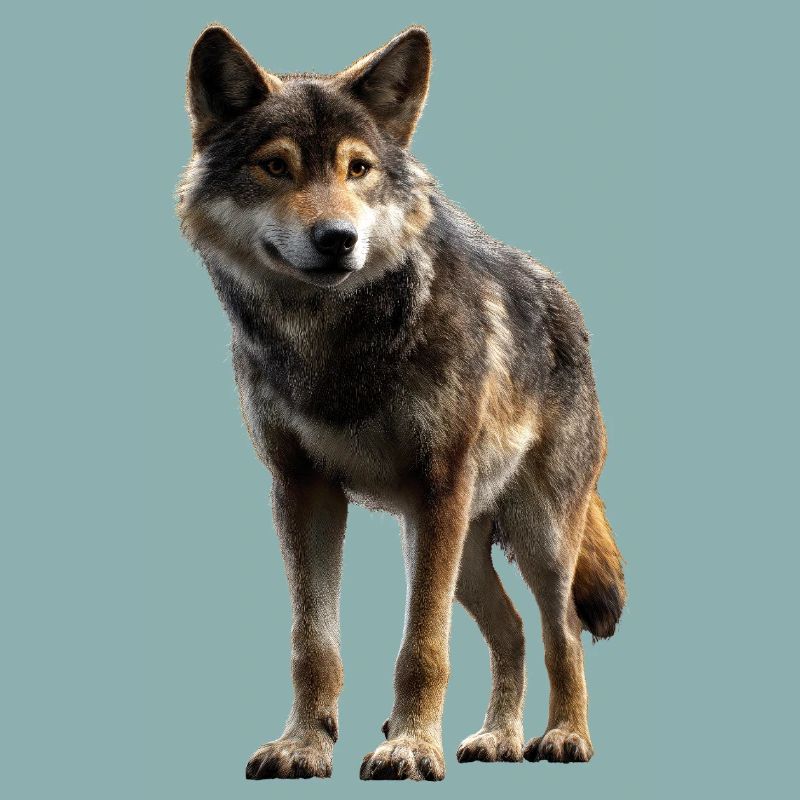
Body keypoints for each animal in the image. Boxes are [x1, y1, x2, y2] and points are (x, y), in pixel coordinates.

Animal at [178, 24, 626, 781]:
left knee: (560, 631)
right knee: (511, 633)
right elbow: (313, 645)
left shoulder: (438, 486)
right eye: (276, 167)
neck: (333, 340)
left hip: (530, 537)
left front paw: (410, 747)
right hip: (458, 550)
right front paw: (304, 745)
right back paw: (498, 739)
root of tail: (565, 302)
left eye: (358, 169)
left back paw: (564, 737)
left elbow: (422, 647)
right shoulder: (302, 489)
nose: (338, 239)